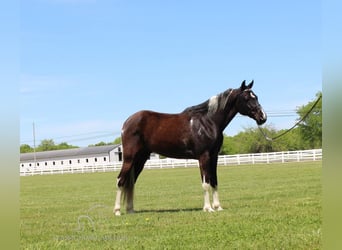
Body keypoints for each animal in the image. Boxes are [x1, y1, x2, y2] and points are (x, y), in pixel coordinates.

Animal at [113, 79, 266, 215]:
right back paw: (117, 211)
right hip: (129, 158)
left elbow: (214, 181)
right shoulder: (203, 157)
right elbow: (206, 182)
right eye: (246, 98)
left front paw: (218, 207)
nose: (263, 117)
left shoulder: (214, 156)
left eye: (256, 96)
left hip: (141, 159)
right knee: (120, 180)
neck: (208, 122)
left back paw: (130, 210)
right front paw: (208, 208)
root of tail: (127, 123)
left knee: (131, 183)